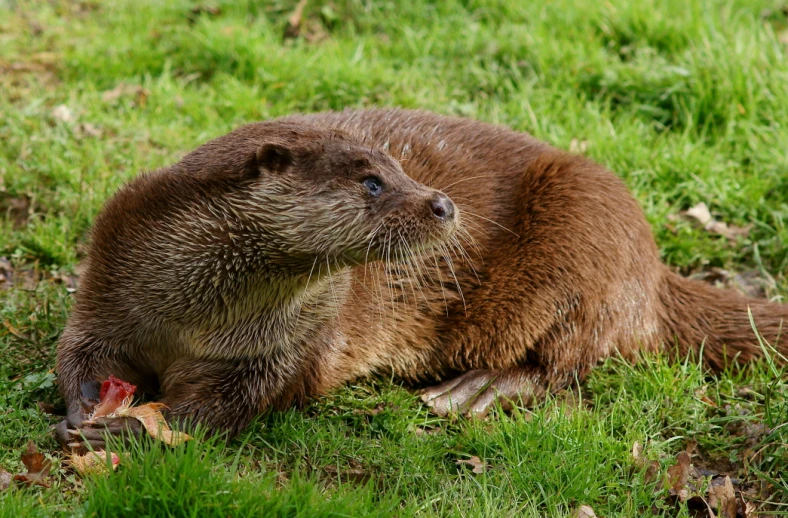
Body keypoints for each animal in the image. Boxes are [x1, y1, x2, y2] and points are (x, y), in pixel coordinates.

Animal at [58, 108, 788, 450]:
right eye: (372, 181)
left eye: (399, 169)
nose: (442, 203)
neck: (198, 315)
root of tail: (654, 264)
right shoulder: (109, 282)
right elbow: (79, 352)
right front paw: (87, 403)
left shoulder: (288, 347)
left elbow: (228, 407)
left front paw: (126, 430)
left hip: (587, 234)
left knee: (572, 360)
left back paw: (475, 390)